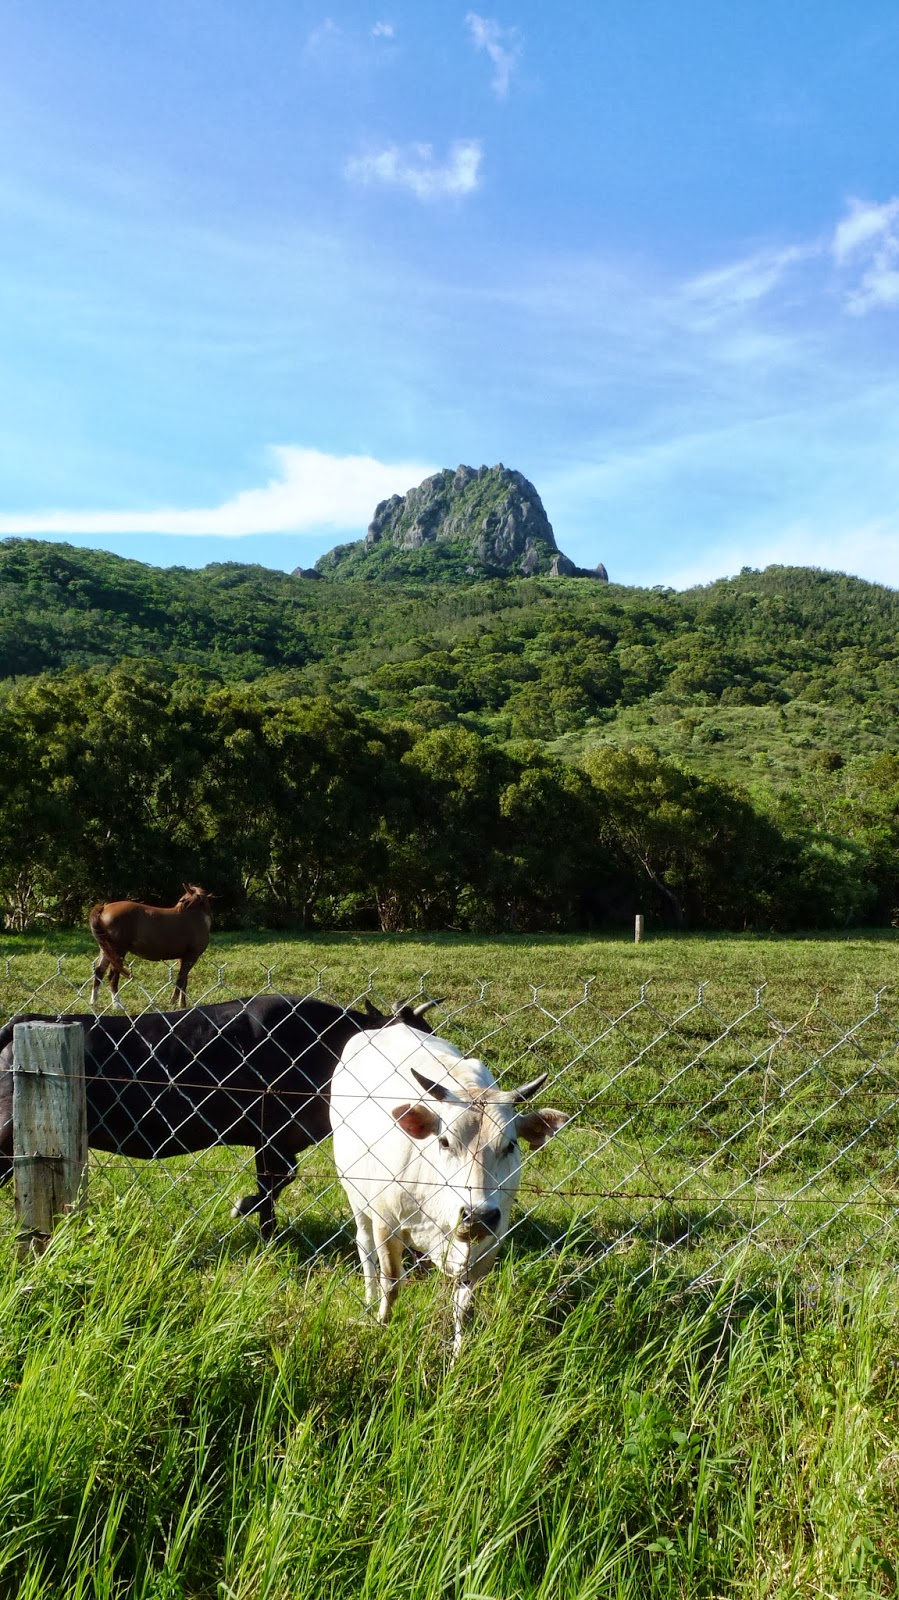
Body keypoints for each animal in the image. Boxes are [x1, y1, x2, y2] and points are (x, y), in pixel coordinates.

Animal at [0, 995, 435, 1239]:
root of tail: (22, 1021)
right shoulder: (273, 1134)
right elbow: (276, 1181)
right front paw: (247, 1211)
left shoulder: (272, 1139)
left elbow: (275, 1183)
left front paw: (268, 1236)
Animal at [329, 1022, 568, 1355]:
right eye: (444, 1141)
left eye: (510, 1145)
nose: (477, 1215)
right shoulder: (386, 1223)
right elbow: (391, 1283)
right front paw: (382, 1326)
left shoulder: (490, 1242)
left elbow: (465, 1307)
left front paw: (458, 1356)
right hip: (356, 1195)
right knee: (365, 1250)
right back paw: (368, 1299)